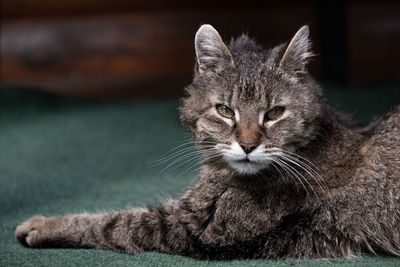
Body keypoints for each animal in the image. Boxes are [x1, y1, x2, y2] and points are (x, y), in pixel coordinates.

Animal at [14, 24, 400, 260]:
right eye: (225, 110)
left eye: (274, 113)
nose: (248, 145)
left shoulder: (195, 227)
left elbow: (111, 223)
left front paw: (44, 225)